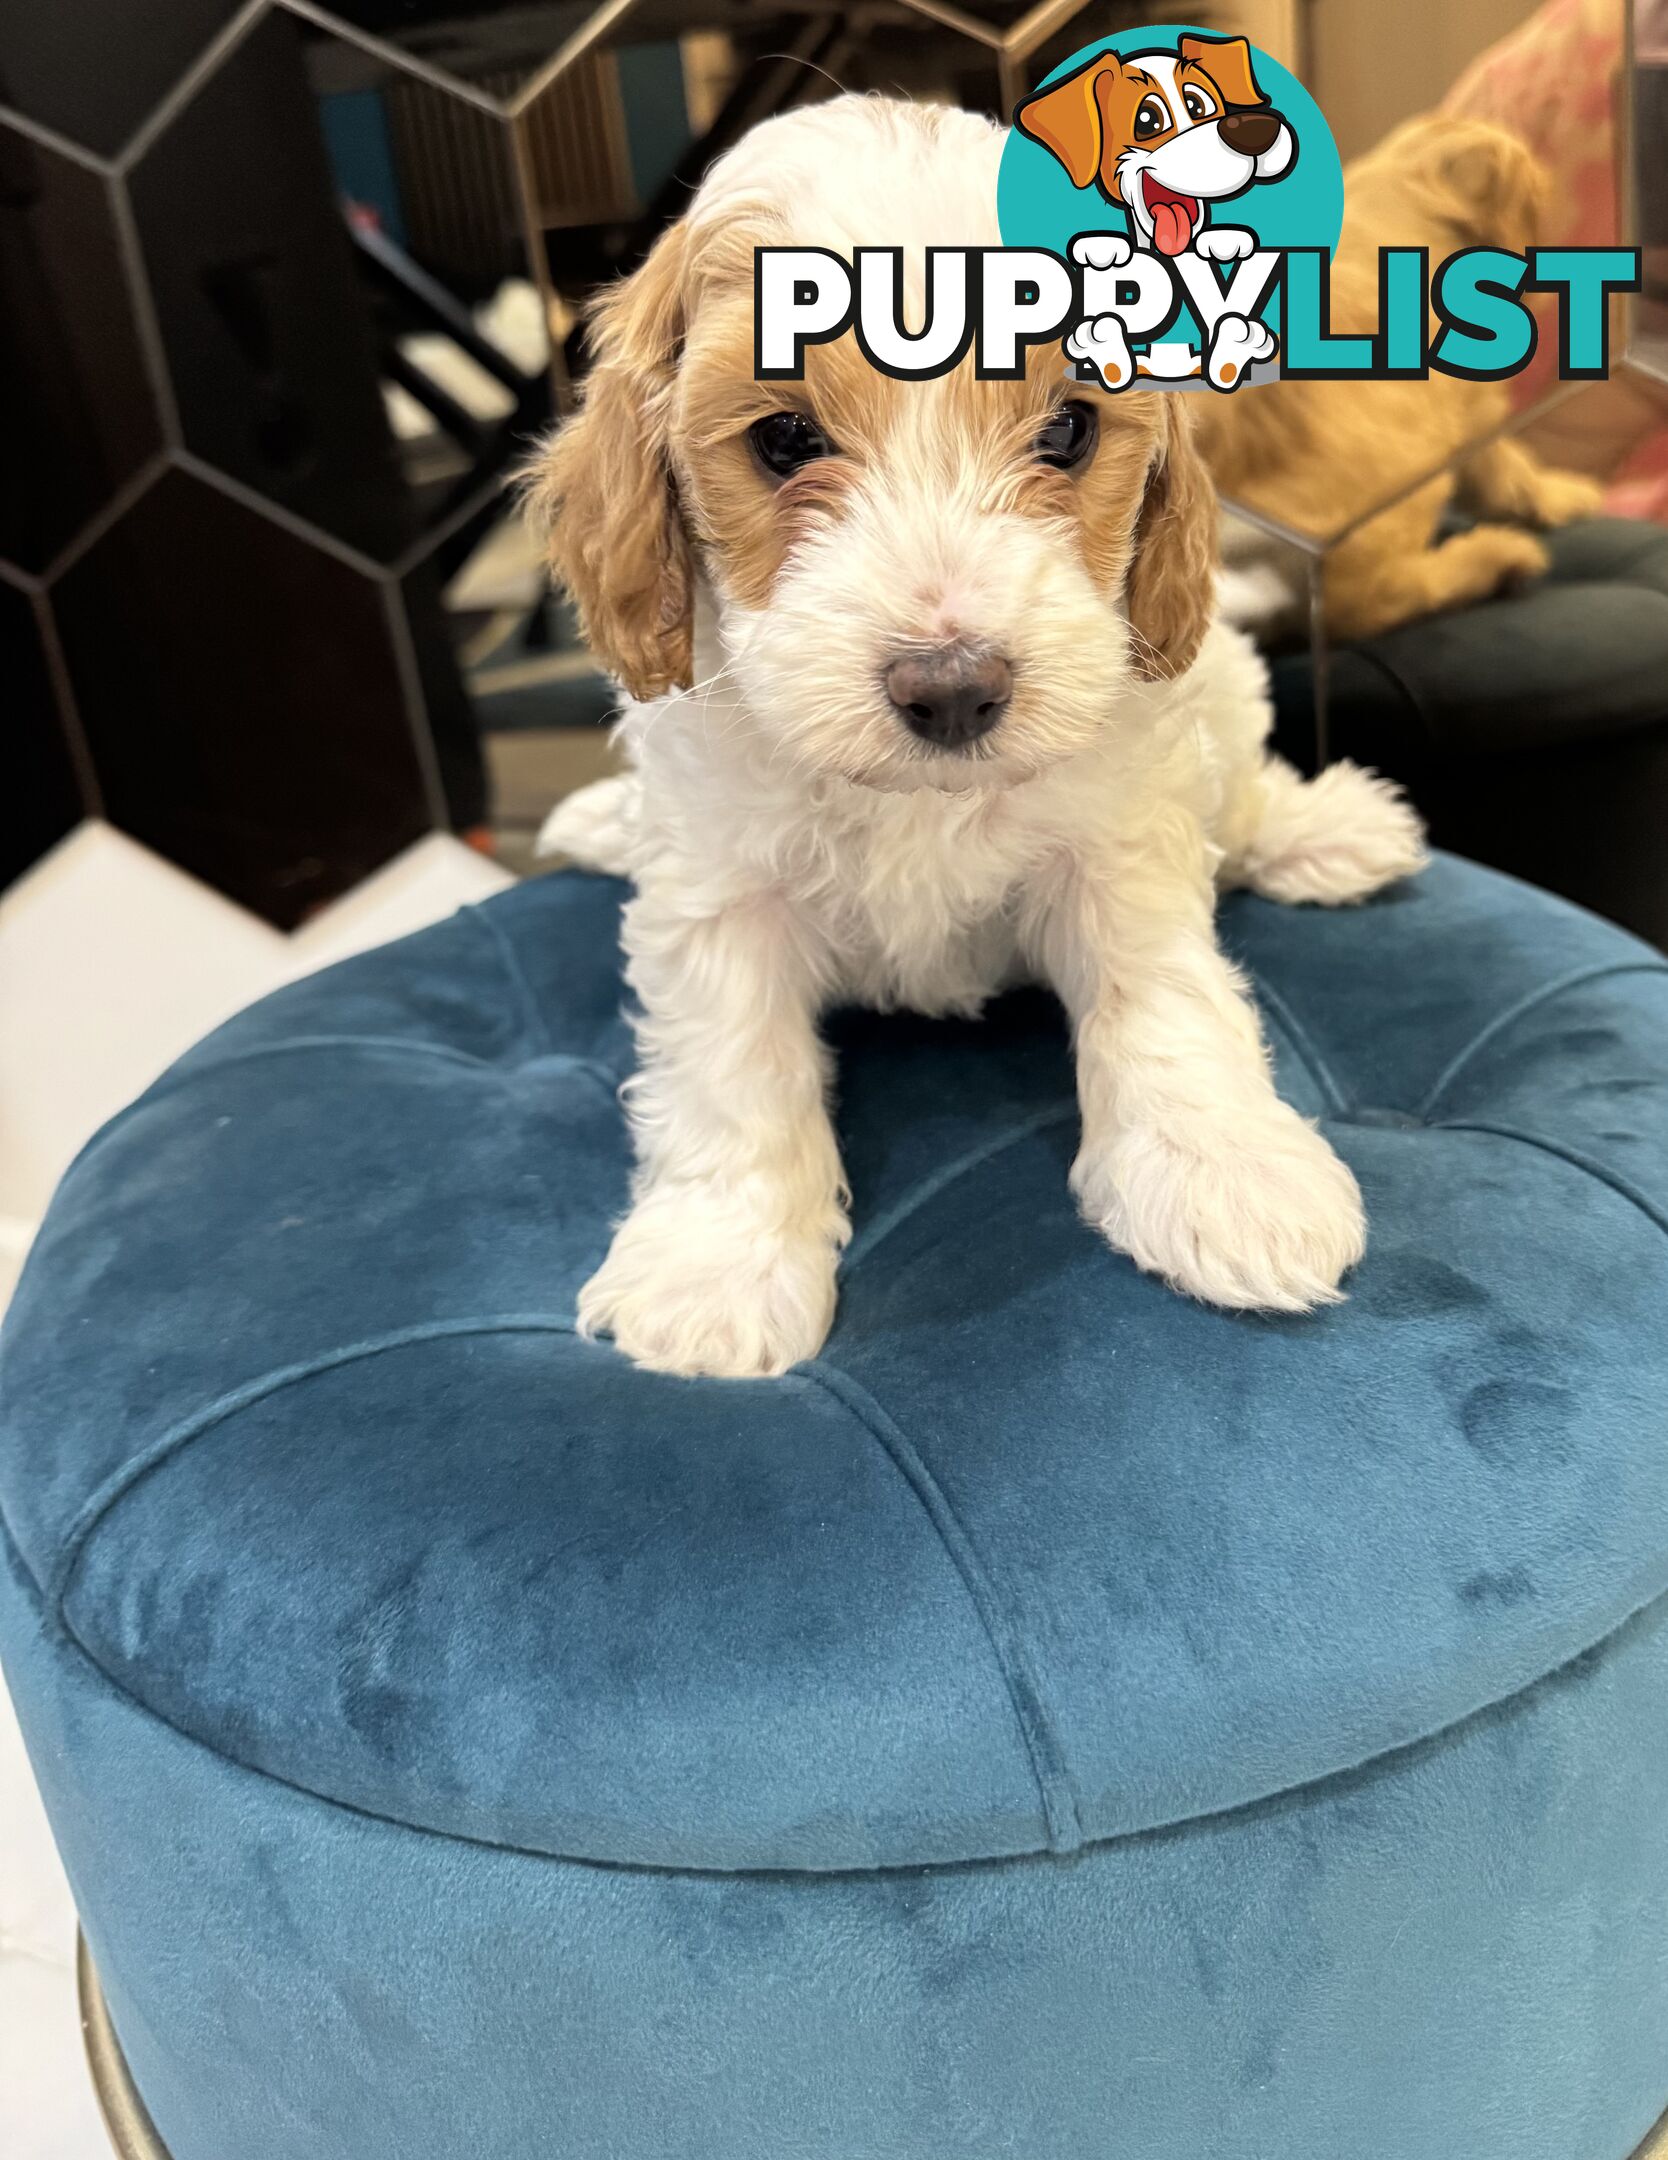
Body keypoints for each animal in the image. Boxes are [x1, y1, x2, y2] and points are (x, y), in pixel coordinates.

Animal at [531, 92, 1417, 1373]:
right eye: (784, 440)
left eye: (1068, 430)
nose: (953, 686)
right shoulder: (716, 887)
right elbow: (729, 1062)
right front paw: (719, 1265)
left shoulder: (1118, 840)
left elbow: (1164, 990)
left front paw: (1223, 1171)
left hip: (1220, 692)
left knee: (1244, 795)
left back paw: (1330, 833)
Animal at [1192, 116, 1598, 639]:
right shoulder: (1469, 412)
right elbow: (1511, 468)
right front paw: (1566, 495)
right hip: (1404, 480)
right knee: (1366, 605)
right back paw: (1496, 558)